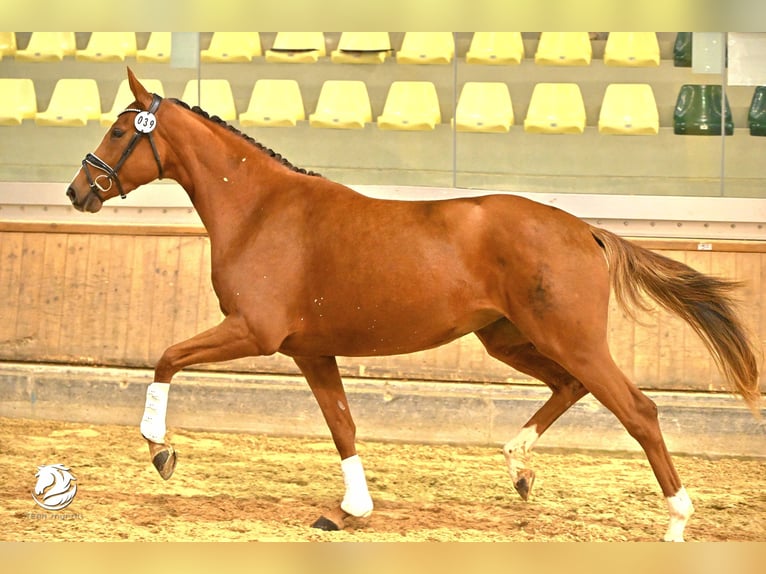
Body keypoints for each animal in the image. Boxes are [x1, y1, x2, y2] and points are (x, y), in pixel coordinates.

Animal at [67, 70, 760, 544]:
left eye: (122, 130)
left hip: (571, 340)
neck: (261, 211)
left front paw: (160, 451)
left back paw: (676, 520)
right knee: (570, 388)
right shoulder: (310, 351)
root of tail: (586, 230)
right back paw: (519, 469)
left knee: (638, 411)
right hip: (509, 340)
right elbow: (342, 425)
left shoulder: (254, 332)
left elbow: (166, 357)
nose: (78, 190)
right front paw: (351, 510)